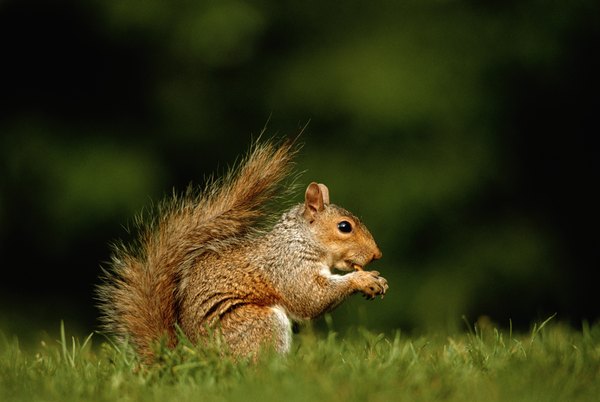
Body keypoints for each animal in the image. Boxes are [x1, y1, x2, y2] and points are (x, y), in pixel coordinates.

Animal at [97, 139, 390, 362]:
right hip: (258, 323)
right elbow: (310, 297)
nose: (377, 255)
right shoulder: (287, 266)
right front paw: (363, 280)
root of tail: (193, 358)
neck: (301, 239)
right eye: (344, 227)